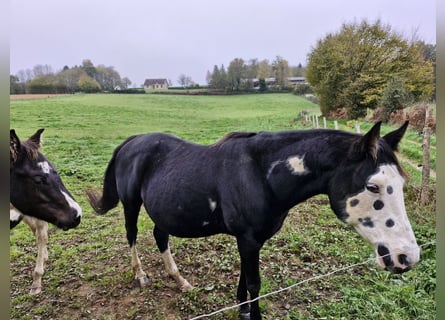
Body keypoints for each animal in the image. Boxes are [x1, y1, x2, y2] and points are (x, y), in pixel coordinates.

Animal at [88, 121, 418, 318]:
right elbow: (255, 282)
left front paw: (243, 309)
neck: (261, 174)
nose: (407, 257)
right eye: (373, 186)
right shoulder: (247, 239)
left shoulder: (250, 241)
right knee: (131, 235)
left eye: (401, 183)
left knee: (160, 236)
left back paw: (180, 280)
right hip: (132, 205)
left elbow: (245, 279)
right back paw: (141, 275)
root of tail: (131, 142)